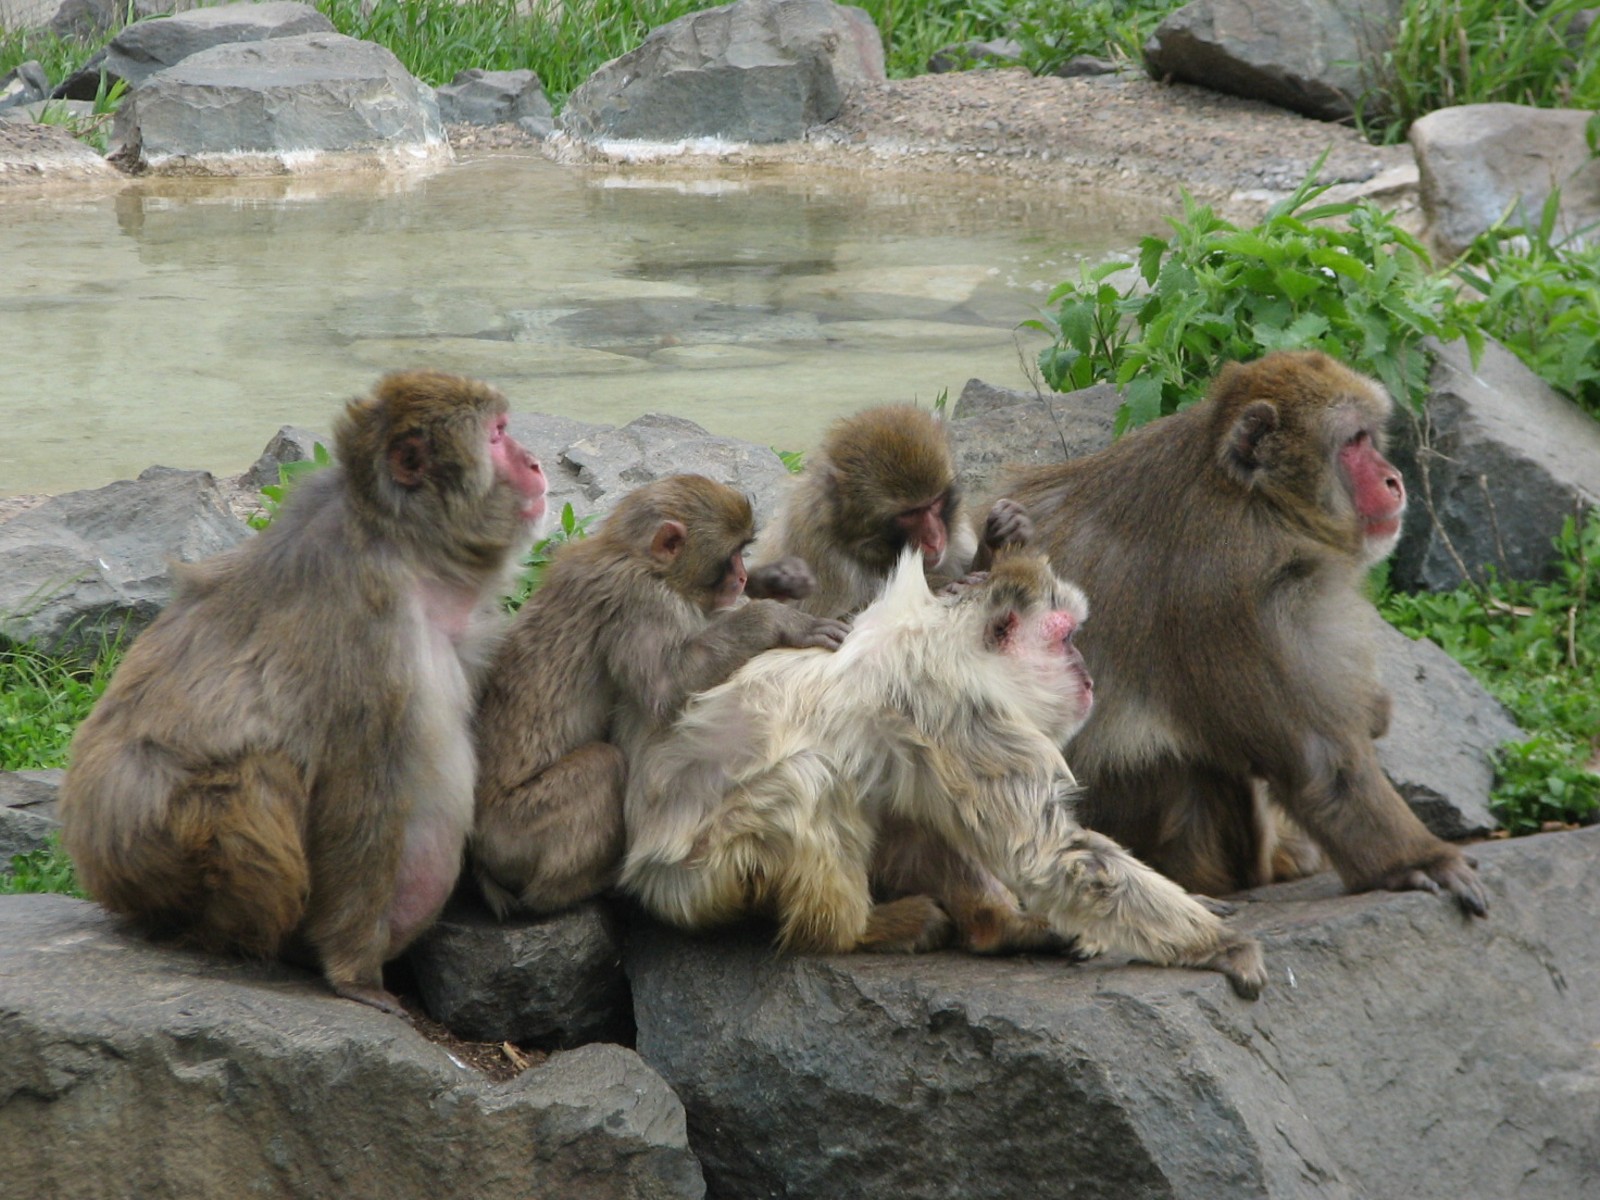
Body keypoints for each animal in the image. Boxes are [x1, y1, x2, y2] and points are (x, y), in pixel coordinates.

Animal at [59, 369, 548, 1014]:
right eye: (496, 436)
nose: (536, 461)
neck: (402, 543)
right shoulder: (371, 638)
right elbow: (361, 797)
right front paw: (354, 974)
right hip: (164, 856)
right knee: (254, 778)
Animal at [470, 474, 849, 919]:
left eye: (744, 553)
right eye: (731, 556)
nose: (741, 577)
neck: (633, 555)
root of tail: (478, 855)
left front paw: (779, 582)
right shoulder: (643, 601)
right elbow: (666, 688)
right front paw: (777, 619)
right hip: (516, 831)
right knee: (604, 765)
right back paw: (580, 888)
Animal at [622, 548, 1267, 999]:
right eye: (1064, 640)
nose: (1086, 672)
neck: (956, 647)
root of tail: (643, 871)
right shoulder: (960, 709)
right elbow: (1050, 856)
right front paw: (1220, 945)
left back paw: (995, 927)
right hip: (706, 874)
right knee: (811, 778)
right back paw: (850, 932)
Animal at [1007, 349, 1488, 916]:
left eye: (1370, 437)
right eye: (1353, 442)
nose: (1394, 479)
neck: (1255, 499)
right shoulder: (1241, 595)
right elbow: (1320, 762)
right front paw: (1416, 861)